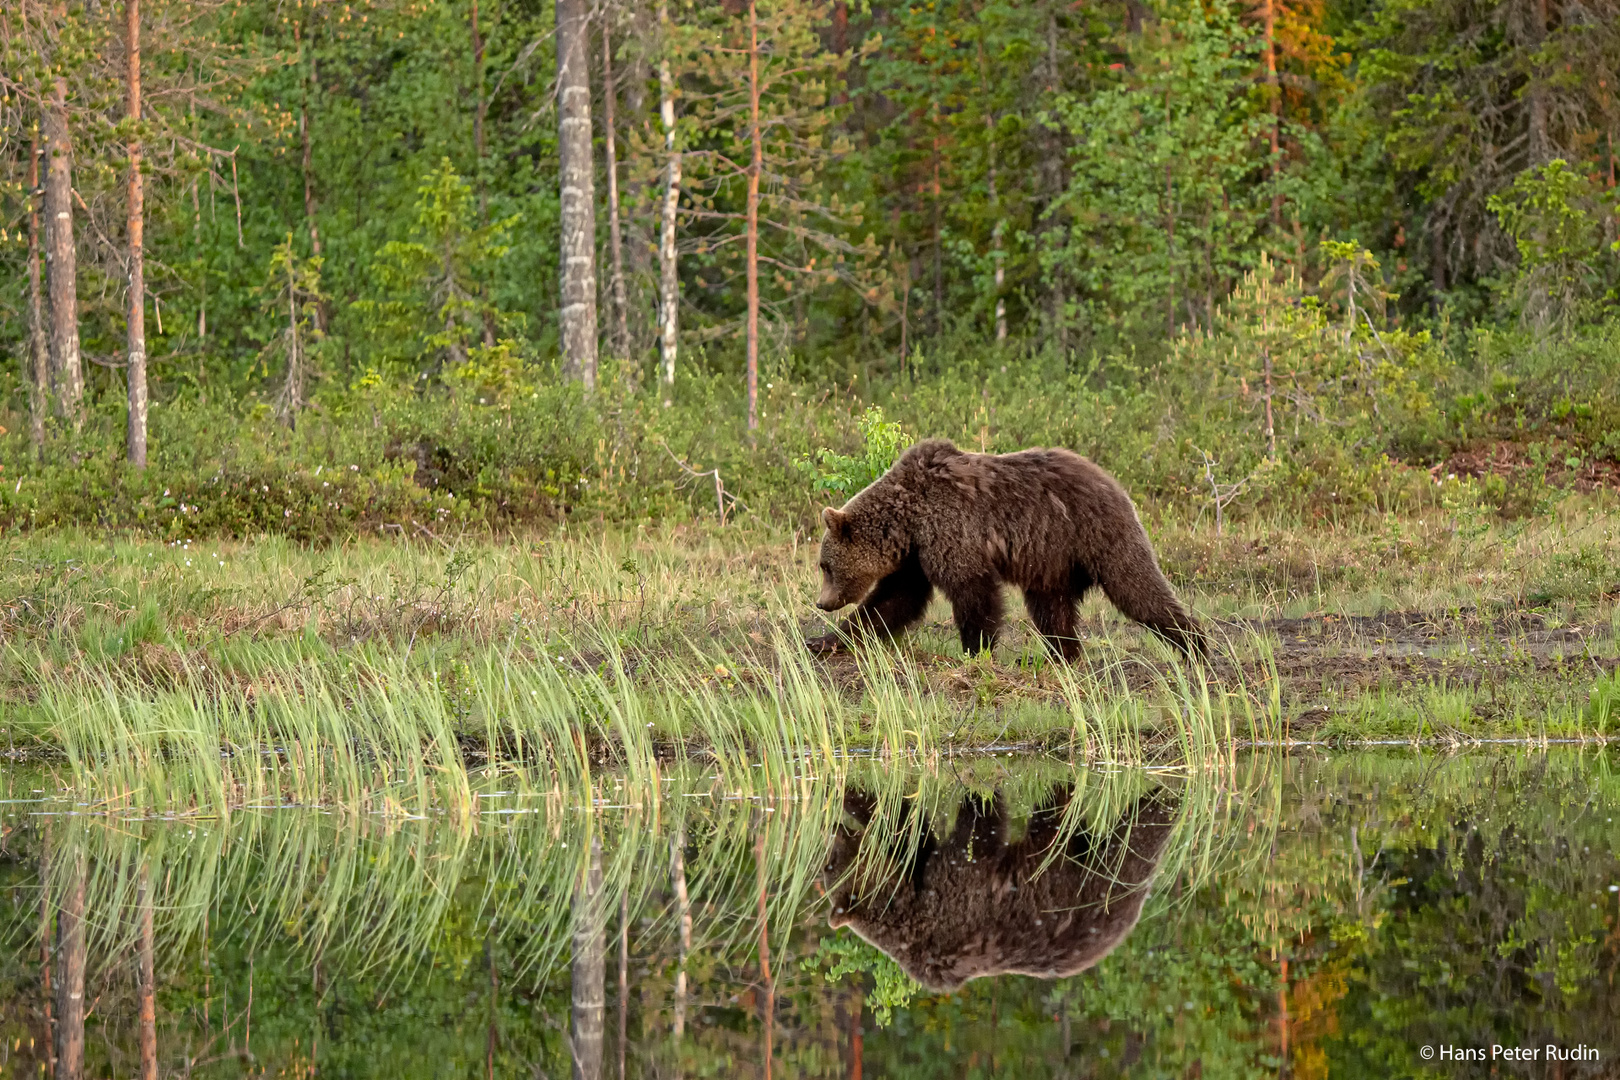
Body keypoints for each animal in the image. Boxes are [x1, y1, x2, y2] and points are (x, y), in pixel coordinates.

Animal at [810, 437, 1205, 660]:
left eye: (825, 565)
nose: (821, 602)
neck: (907, 520)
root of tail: (1116, 484)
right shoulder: (918, 555)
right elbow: (892, 600)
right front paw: (825, 640)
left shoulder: (951, 530)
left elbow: (973, 592)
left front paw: (975, 650)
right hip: (1053, 561)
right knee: (1053, 610)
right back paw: (1061, 655)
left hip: (1097, 534)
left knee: (1137, 587)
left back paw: (1194, 645)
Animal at [822, 780, 1179, 990]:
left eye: (828, 864)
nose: (831, 832)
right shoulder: (952, 897)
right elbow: (963, 831)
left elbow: (906, 825)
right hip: (1095, 880)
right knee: (1134, 835)